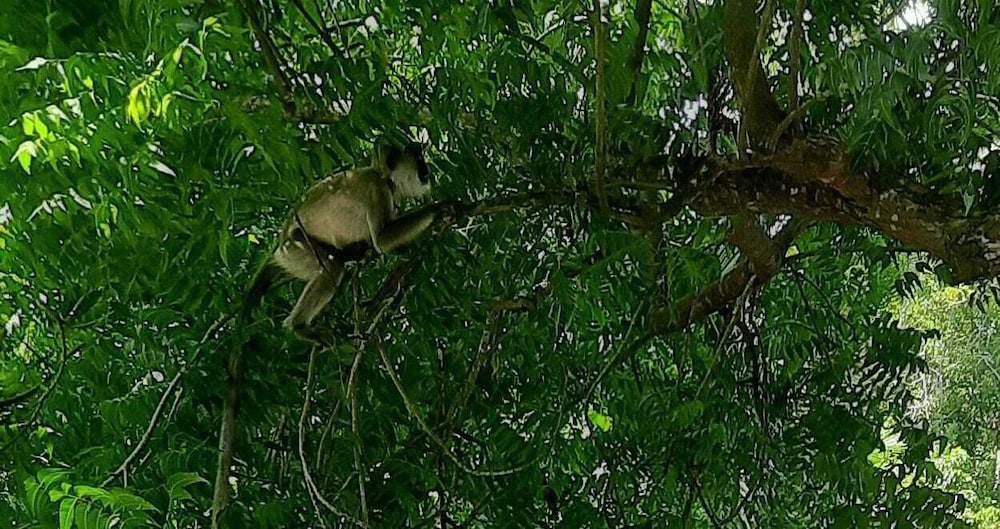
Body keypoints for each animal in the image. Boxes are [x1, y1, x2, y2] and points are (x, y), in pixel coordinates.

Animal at [244, 141, 439, 332]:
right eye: (419, 160)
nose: (426, 170)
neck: (384, 176)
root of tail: (281, 240)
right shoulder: (378, 189)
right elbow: (381, 239)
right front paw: (438, 208)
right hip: (295, 248)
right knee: (333, 265)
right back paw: (298, 325)